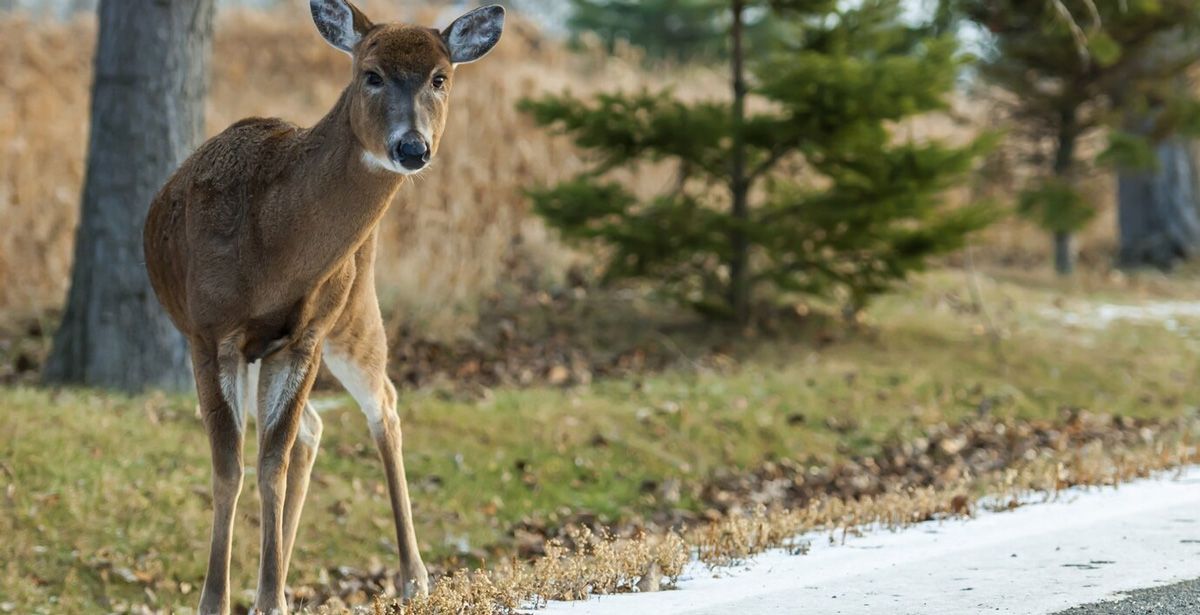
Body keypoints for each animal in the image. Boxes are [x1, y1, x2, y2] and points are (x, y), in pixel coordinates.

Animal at [141, 2, 506, 612]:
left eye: (440, 77)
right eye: (371, 74)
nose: (413, 148)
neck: (272, 249)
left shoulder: (305, 336)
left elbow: (269, 462)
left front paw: (269, 599)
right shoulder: (210, 333)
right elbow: (230, 466)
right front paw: (221, 598)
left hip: (353, 313)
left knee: (380, 405)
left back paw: (413, 577)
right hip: (267, 349)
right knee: (312, 428)